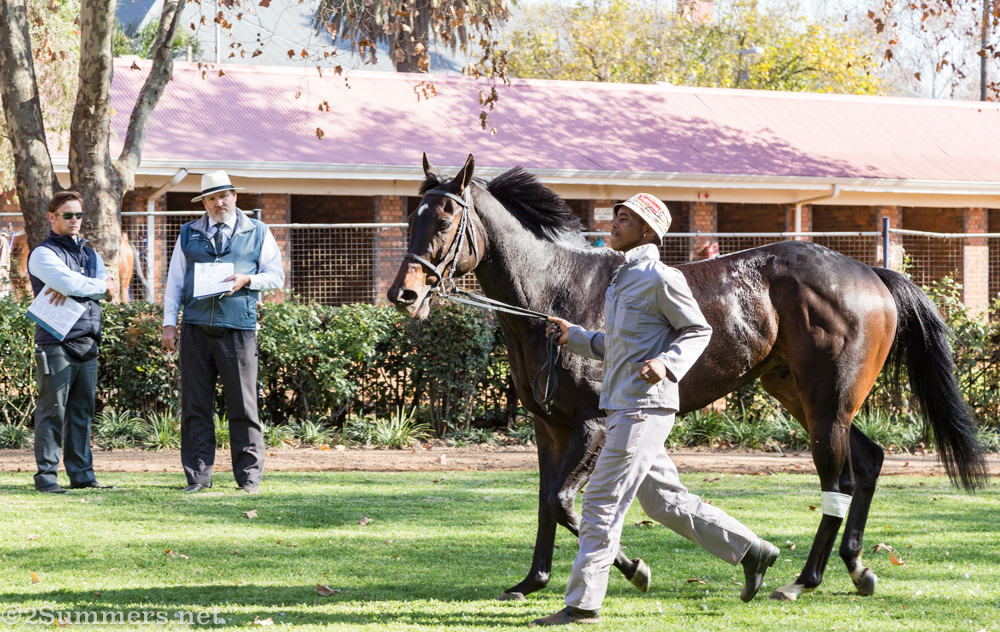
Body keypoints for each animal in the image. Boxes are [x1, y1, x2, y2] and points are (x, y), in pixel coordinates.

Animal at [387, 154, 989, 603]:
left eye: (445, 218)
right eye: (413, 217)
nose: (404, 293)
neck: (555, 294)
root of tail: (871, 274)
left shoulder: (591, 427)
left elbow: (563, 503)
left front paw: (633, 567)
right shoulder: (548, 427)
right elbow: (545, 501)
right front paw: (531, 580)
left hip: (827, 404)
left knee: (838, 481)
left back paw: (801, 580)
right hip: (803, 397)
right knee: (868, 462)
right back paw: (855, 568)